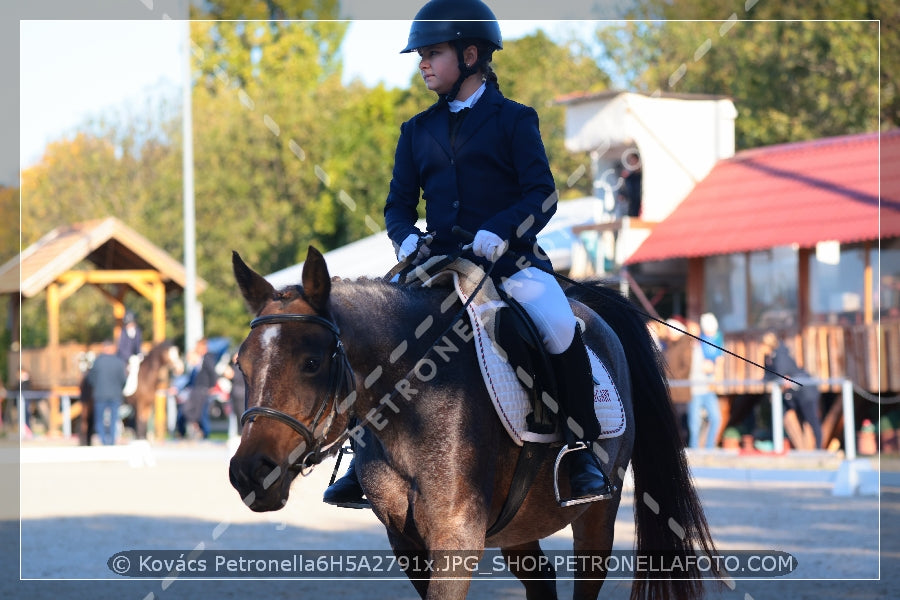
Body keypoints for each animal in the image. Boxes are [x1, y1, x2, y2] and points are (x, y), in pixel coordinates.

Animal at [230, 247, 716, 600]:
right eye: (241, 365)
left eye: (311, 363)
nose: (250, 473)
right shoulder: (406, 542)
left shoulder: (456, 534)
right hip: (519, 523)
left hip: (597, 514)